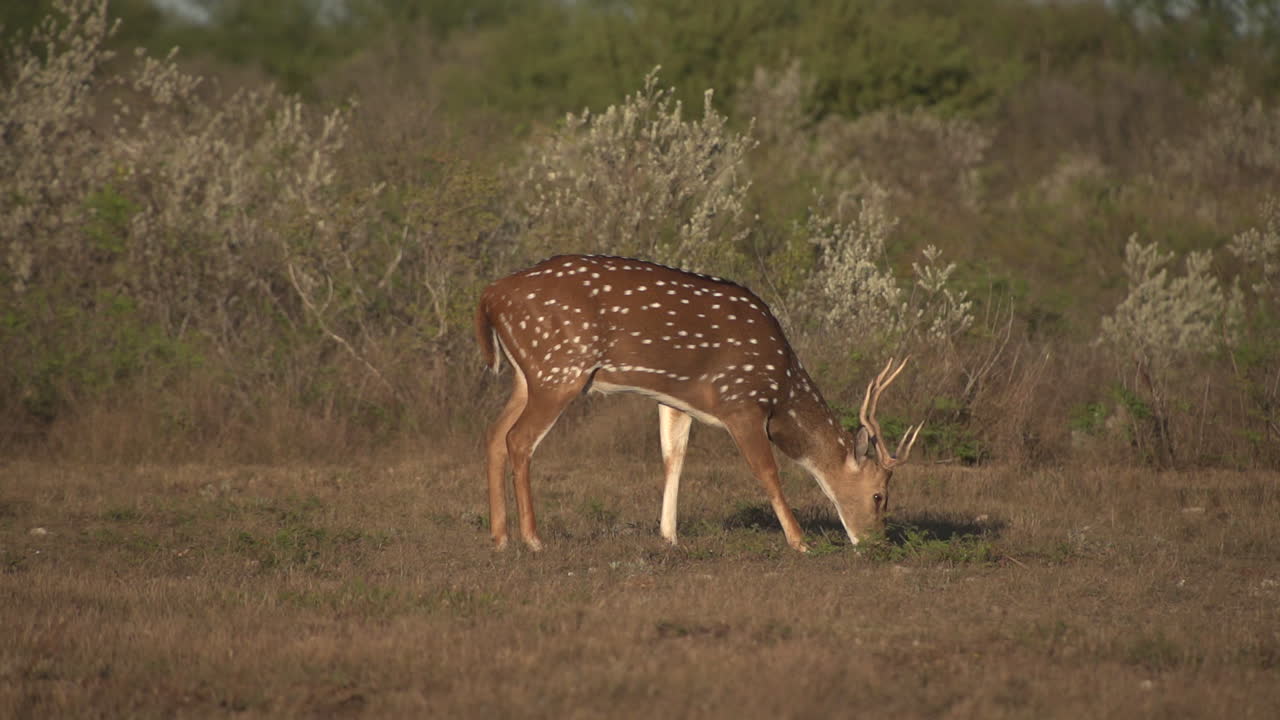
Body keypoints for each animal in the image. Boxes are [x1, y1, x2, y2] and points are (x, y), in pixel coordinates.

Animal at [474, 254, 922, 553]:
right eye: (879, 494)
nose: (877, 542)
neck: (781, 387)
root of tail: (489, 297)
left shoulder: (676, 399)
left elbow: (673, 459)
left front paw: (669, 535)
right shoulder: (740, 401)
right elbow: (767, 471)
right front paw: (800, 541)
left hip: (527, 375)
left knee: (494, 434)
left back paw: (499, 537)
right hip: (560, 370)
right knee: (518, 439)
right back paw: (533, 539)